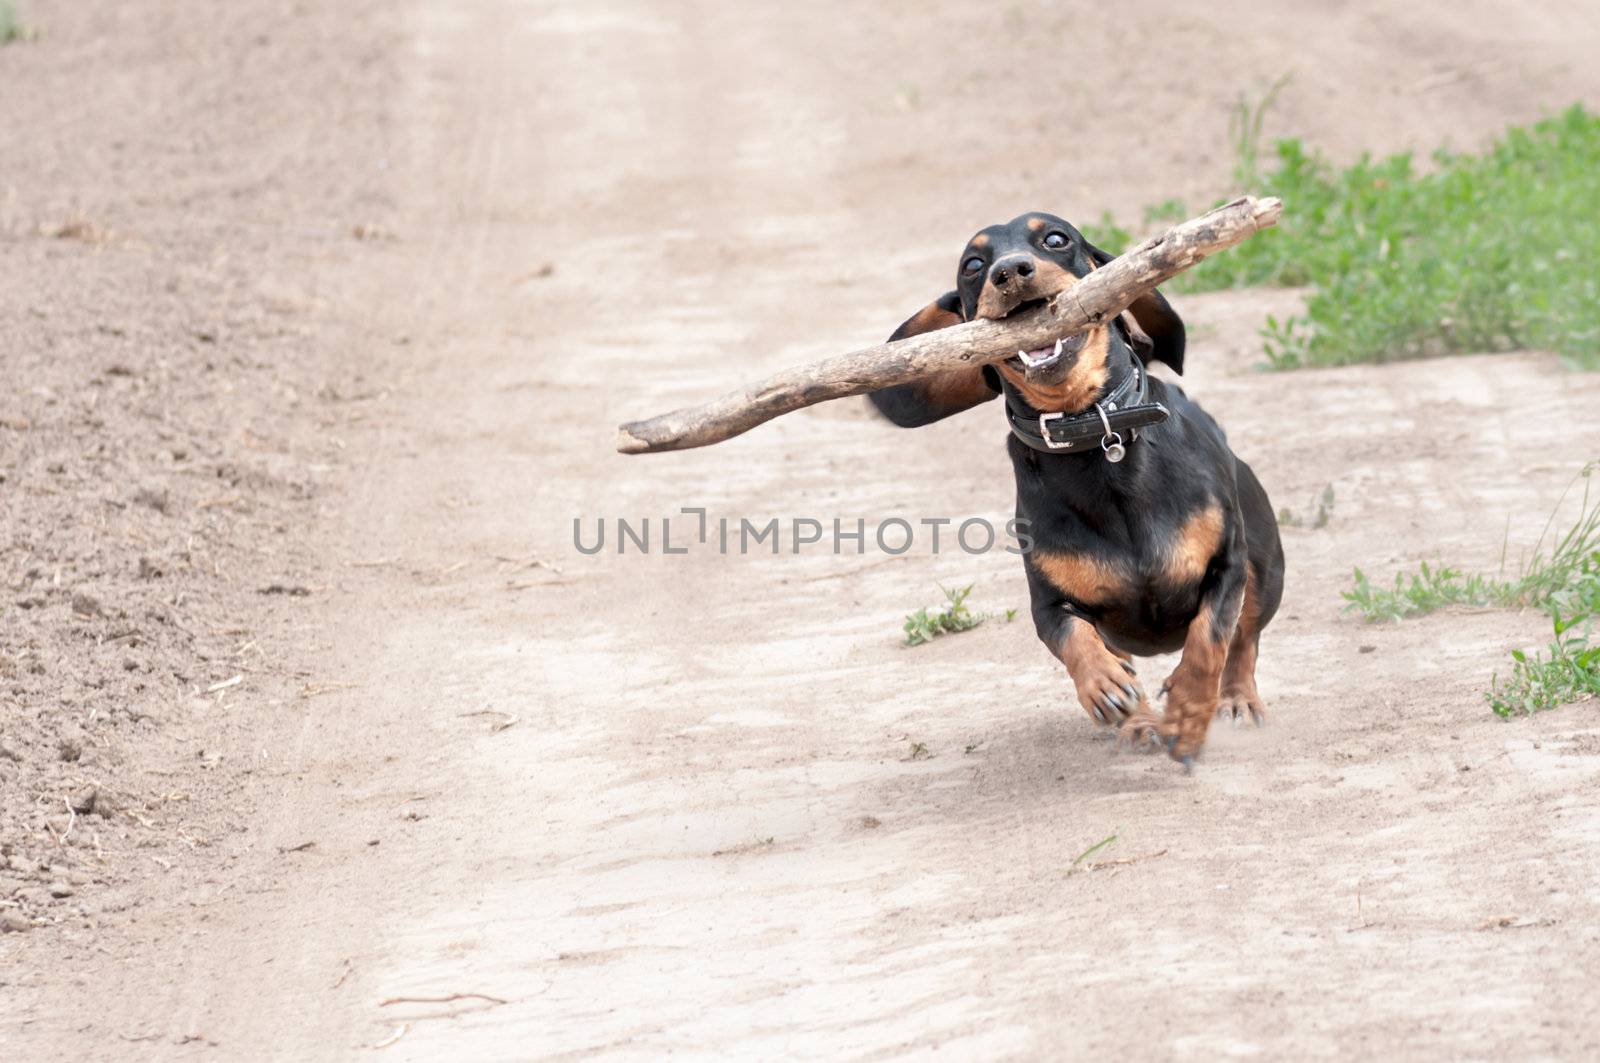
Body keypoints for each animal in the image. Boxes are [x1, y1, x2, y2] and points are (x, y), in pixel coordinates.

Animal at [870, 211, 1280, 768]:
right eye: (972, 265)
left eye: (1055, 238)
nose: (1009, 271)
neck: (1090, 430)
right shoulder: (1048, 605)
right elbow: (1074, 639)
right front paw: (1106, 688)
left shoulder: (1227, 565)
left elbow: (1208, 641)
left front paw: (1189, 715)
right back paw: (1139, 717)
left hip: (1264, 569)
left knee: (1244, 639)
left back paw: (1235, 699)